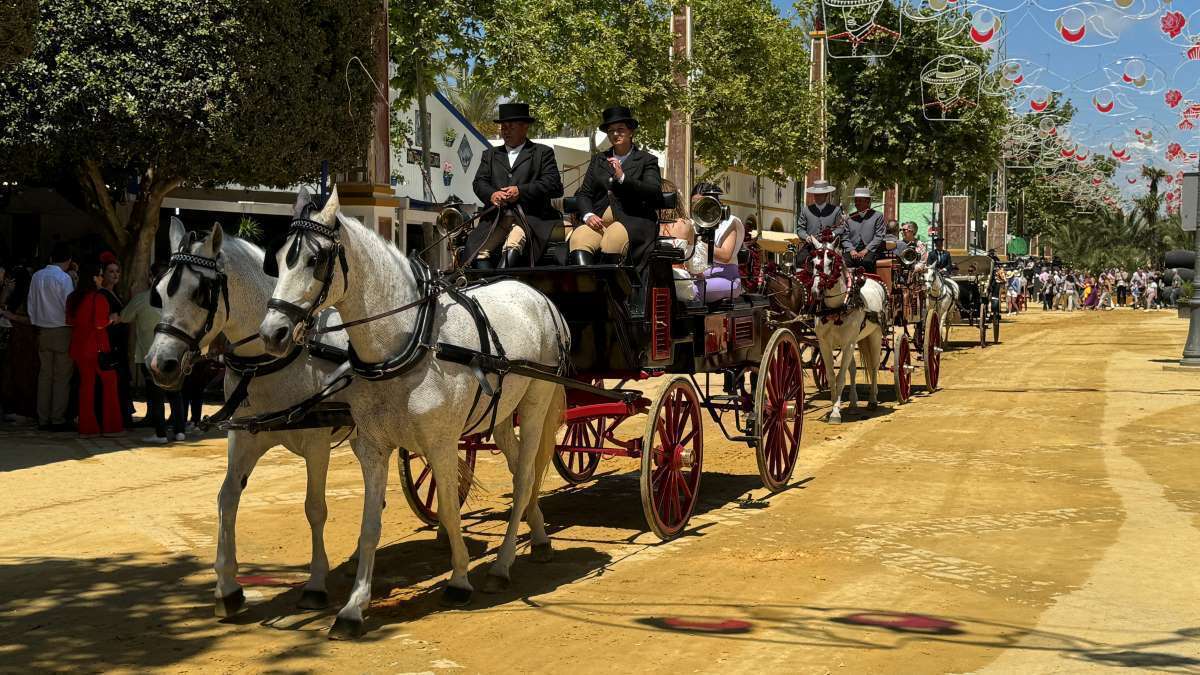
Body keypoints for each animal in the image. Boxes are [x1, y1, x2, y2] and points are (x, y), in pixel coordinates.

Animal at [145, 218, 355, 618]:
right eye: (159, 293)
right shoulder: (243, 437)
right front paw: (227, 587)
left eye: (201, 293)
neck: (273, 360)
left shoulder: (317, 441)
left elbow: (315, 508)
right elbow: (227, 498)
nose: (159, 364)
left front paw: (316, 584)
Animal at [258, 188, 568, 639]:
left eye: (316, 259)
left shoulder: (440, 444)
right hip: (499, 412)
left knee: (526, 475)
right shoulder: (372, 448)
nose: (272, 333)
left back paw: (503, 564)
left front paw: (459, 580)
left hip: (535, 401)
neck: (409, 340)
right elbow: (370, 527)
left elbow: (452, 513)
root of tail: (540, 296)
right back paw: (540, 537)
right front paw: (353, 607)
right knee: (517, 470)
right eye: (279, 258)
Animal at [808, 241, 887, 424]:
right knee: (853, 368)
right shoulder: (824, 344)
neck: (836, 308)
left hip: (874, 335)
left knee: (874, 366)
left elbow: (841, 377)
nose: (815, 291)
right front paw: (833, 405)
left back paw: (872, 400)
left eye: (831, 263)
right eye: (813, 262)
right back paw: (853, 404)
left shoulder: (848, 343)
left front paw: (836, 413)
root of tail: (873, 280)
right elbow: (831, 376)